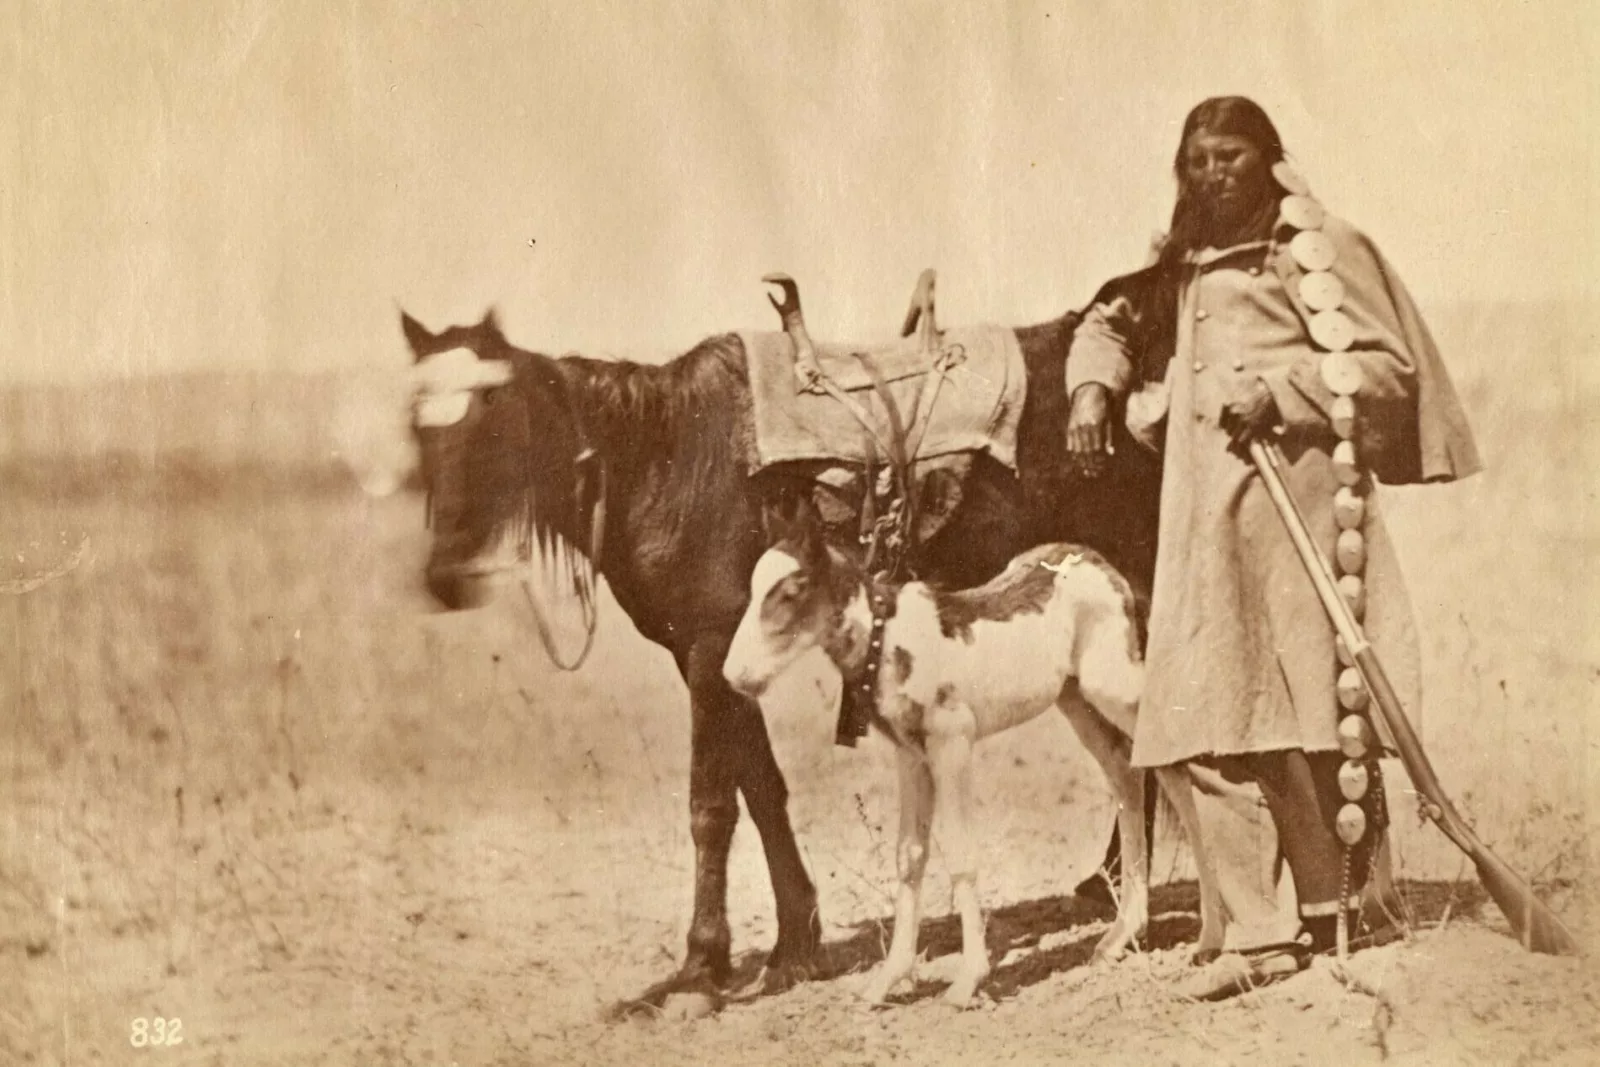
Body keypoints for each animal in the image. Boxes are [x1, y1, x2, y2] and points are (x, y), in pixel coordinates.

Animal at [400, 295, 1164, 1017]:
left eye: (493, 413)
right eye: (417, 427)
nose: (443, 577)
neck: (665, 461)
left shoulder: (709, 650)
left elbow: (711, 807)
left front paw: (698, 972)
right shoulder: (712, 656)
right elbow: (763, 790)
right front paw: (796, 945)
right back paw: (1107, 888)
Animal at [726, 518, 1222, 1011]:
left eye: (792, 590)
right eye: (753, 589)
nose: (734, 675)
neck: (885, 641)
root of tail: (1109, 570)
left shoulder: (952, 745)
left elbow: (961, 855)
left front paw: (968, 981)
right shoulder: (912, 757)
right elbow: (909, 856)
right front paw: (887, 981)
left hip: (1115, 690)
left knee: (1174, 766)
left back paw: (1211, 929)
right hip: (1076, 700)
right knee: (1127, 774)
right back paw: (1122, 935)